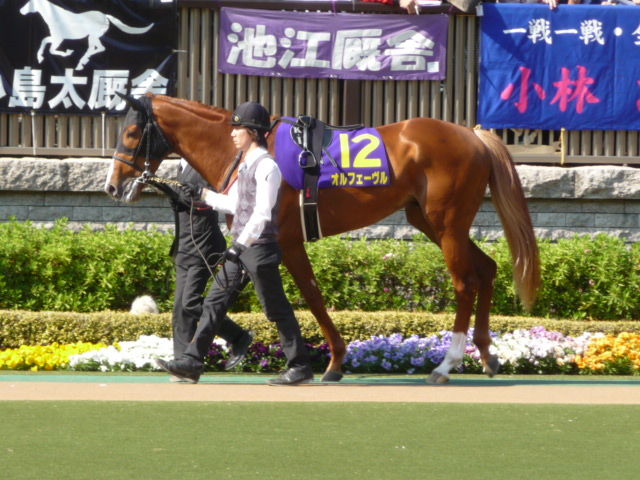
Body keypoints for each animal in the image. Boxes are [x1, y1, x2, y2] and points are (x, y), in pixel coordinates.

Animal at [20, 0, 153, 70]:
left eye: (30, 2)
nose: (21, 11)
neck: (55, 17)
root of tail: (105, 17)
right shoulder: (55, 37)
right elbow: (44, 41)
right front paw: (40, 58)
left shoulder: (59, 39)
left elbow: (52, 49)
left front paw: (68, 52)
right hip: (95, 37)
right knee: (100, 48)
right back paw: (83, 61)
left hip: (92, 36)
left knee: (96, 48)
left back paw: (81, 63)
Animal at [104, 93, 541, 384]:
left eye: (132, 132)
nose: (113, 186)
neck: (248, 151)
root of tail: (474, 135)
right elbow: (229, 294)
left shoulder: (284, 240)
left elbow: (309, 296)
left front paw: (325, 363)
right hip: (428, 220)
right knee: (487, 268)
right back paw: (487, 355)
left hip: (446, 221)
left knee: (465, 282)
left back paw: (445, 364)